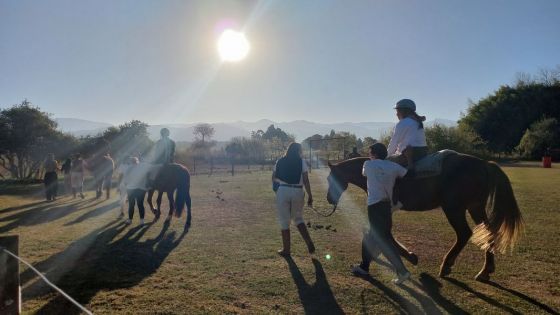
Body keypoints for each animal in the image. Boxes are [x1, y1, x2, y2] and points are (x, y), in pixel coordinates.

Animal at [326, 154, 524, 282]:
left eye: (329, 178)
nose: (329, 198)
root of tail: (483, 164)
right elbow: (383, 234)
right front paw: (407, 257)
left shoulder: (384, 209)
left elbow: (383, 234)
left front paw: (407, 258)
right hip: (475, 207)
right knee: (488, 232)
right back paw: (485, 271)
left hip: (454, 209)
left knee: (464, 233)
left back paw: (446, 266)